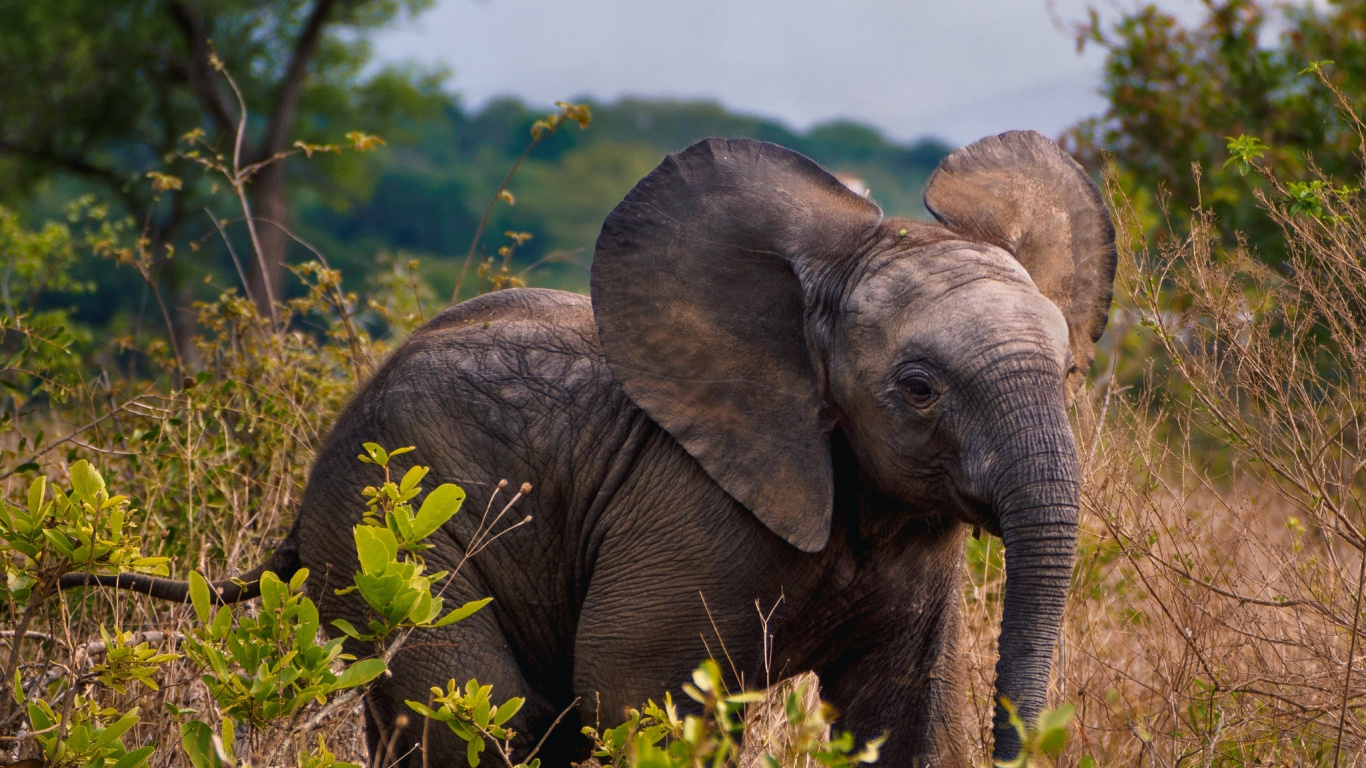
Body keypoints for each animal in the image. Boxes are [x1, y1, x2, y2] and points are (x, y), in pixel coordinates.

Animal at [64, 130, 1116, 767]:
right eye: (919, 389)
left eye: (1068, 371)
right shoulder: (688, 509)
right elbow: (638, 694)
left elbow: (910, 713)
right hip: (381, 537)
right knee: (482, 715)